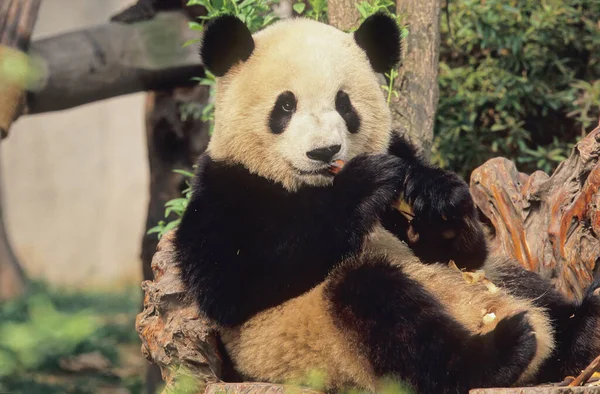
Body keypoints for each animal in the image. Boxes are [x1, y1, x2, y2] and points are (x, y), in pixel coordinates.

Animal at [173, 12, 600, 394]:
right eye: (285, 106)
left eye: (344, 104)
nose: (324, 151)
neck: (311, 186)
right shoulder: (226, 188)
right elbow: (229, 283)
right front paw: (363, 185)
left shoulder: (400, 151)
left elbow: (461, 250)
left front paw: (437, 199)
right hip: (322, 339)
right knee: (386, 311)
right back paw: (504, 350)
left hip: (498, 276)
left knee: (529, 288)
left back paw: (584, 327)